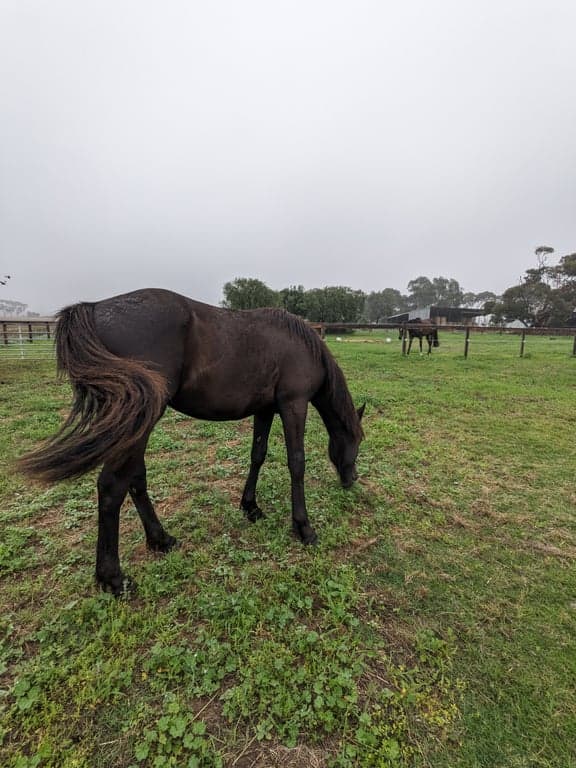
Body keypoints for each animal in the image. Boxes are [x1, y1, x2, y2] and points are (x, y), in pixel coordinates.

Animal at [18, 288, 365, 595]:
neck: (302, 345)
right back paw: (113, 578)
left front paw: (250, 507)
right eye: (358, 440)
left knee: (135, 479)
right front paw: (303, 527)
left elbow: (258, 454)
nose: (352, 480)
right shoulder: (294, 405)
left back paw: (160, 540)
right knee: (112, 486)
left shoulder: (265, 409)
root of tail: (95, 308)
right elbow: (297, 463)